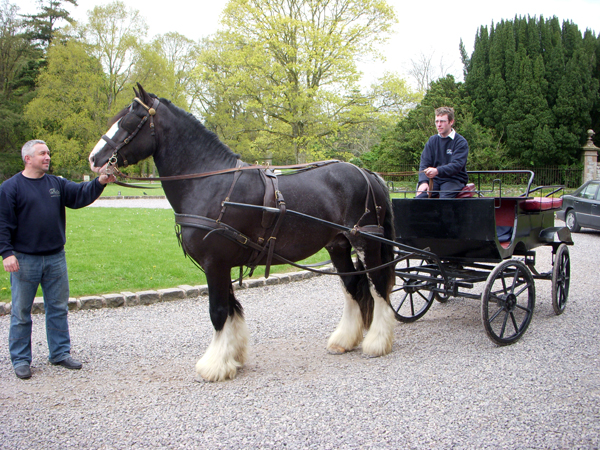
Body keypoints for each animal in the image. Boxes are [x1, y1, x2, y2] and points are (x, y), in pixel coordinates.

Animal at [88, 83, 398, 380]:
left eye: (130, 121)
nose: (94, 159)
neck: (212, 184)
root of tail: (367, 174)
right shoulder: (219, 264)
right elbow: (231, 308)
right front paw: (232, 356)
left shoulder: (215, 262)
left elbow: (218, 311)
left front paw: (214, 366)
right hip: (338, 245)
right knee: (353, 286)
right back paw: (344, 340)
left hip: (366, 242)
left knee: (378, 285)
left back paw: (376, 343)